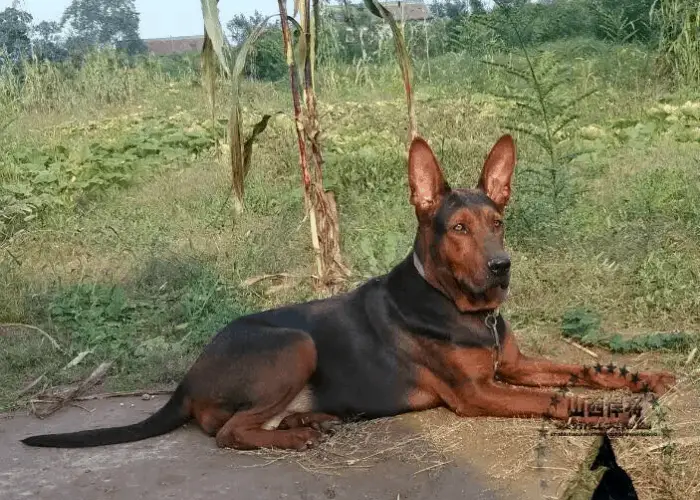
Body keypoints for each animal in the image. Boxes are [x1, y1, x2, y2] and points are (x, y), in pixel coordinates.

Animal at [23, 135, 680, 452]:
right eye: (458, 229)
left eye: (498, 221)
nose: (502, 268)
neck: (463, 309)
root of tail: (188, 375)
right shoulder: (479, 392)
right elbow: (559, 398)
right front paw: (613, 411)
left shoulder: (513, 365)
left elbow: (581, 368)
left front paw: (642, 378)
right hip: (294, 344)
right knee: (227, 431)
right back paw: (299, 435)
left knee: (235, 422)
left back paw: (305, 421)